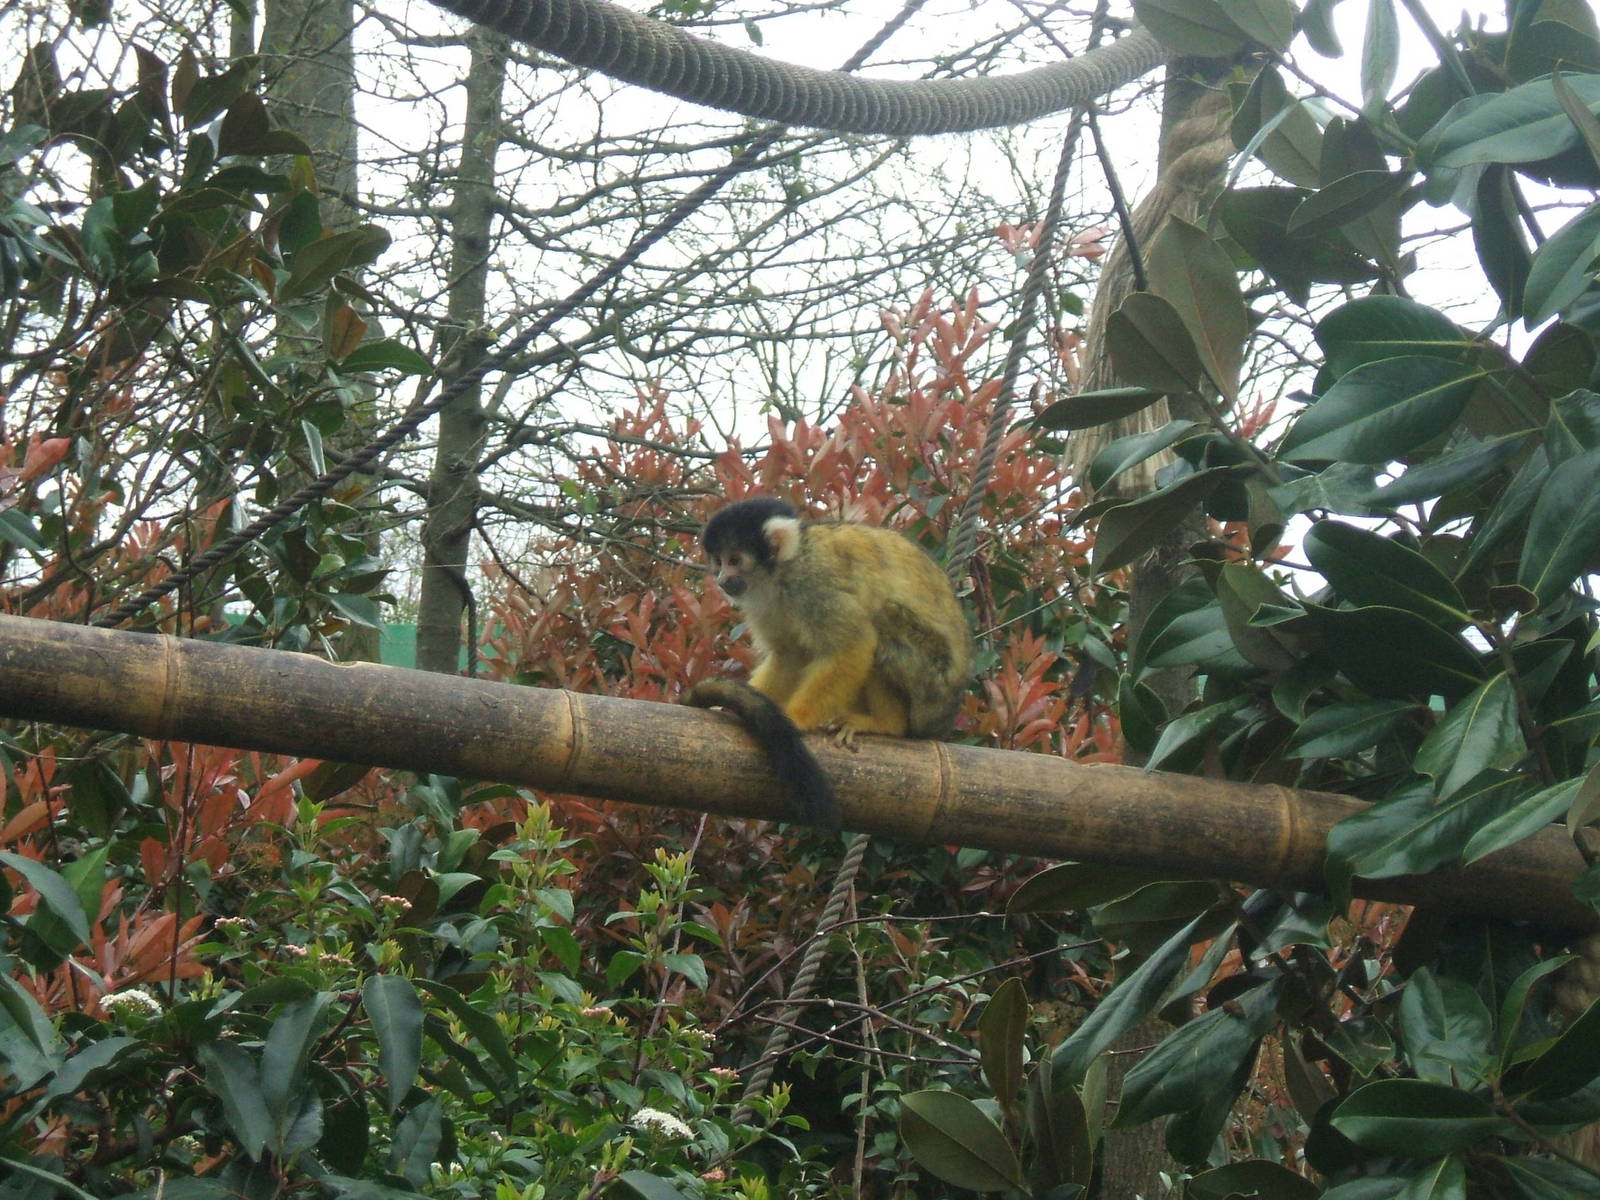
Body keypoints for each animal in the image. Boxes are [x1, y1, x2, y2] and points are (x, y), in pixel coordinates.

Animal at [686, 496, 973, 830]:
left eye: (734, 559)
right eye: (719, 561)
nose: (721, 580)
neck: (784, 570)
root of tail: (944, 720)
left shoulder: (816, 582)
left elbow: (852, 645)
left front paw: (793, 718)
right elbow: (790, 655)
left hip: (932, 684)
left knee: (881, 618)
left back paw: (886, 724)